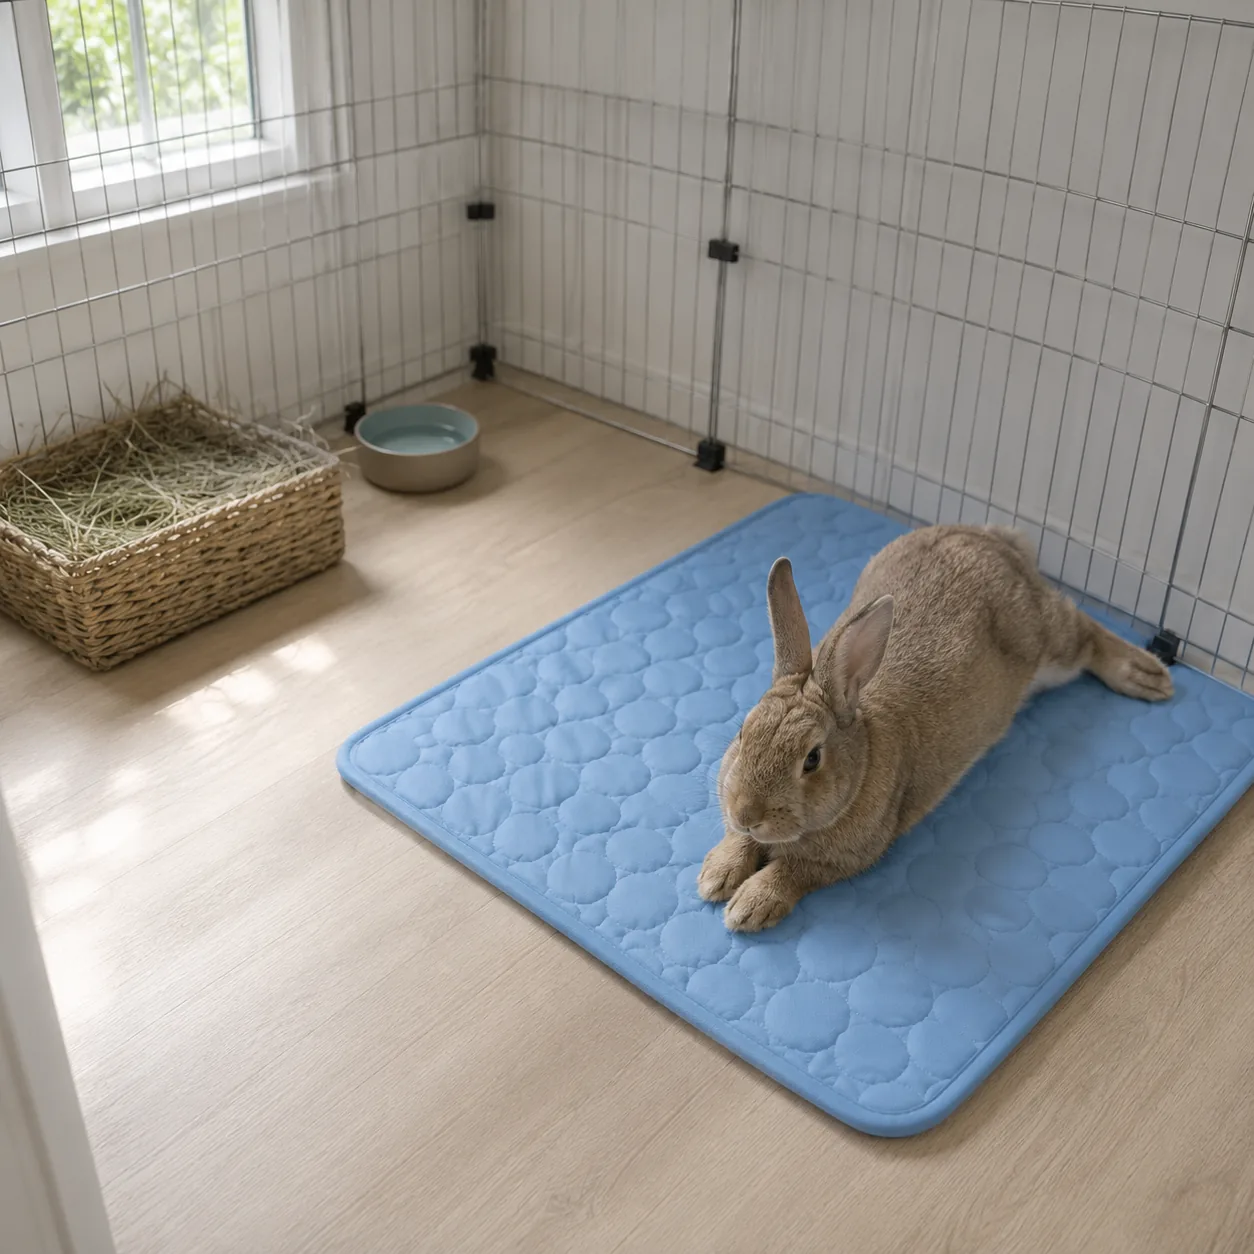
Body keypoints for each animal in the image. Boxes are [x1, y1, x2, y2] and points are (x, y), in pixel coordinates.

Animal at [697, 523, 1174, 932]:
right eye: (743, 732)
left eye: (812, 760)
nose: (747, 813)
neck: (863, 749)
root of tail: (994, 541)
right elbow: (740, 843)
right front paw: (715, 875)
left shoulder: (850, 858)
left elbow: (794, 872)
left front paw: (750, 905)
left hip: (1050, 644)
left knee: (1084, 629)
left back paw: (1147, 675)